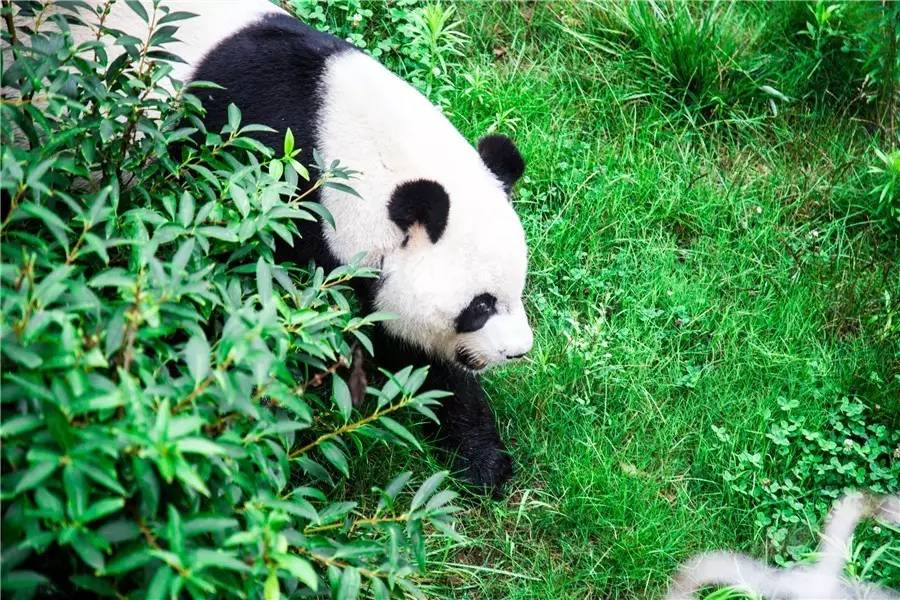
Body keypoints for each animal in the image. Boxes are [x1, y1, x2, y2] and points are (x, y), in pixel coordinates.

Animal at [28, 1, 536, 492]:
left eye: (517, 291)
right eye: (480, 306)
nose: (518, 351)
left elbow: (415, 350)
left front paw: (484, 460)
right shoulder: (253, 180)